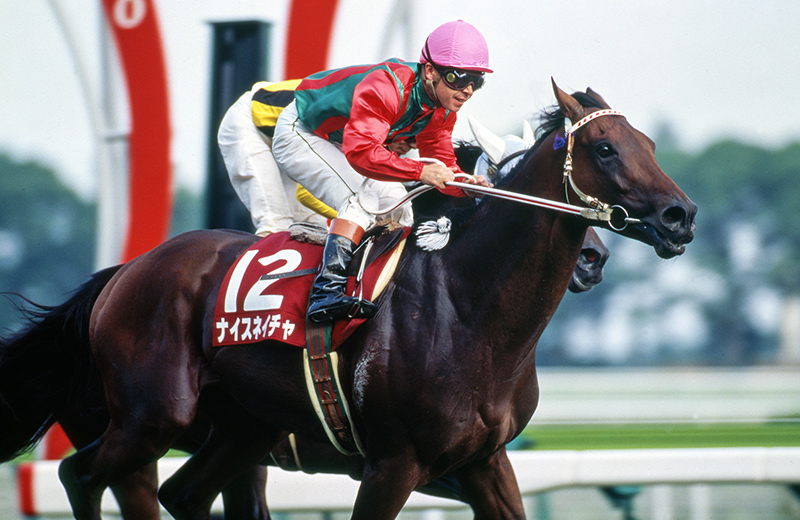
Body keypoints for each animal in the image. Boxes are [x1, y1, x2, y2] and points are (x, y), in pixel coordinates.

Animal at [7, 81, 695, 520]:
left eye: (650, 146)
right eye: (605, 148)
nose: (679, 216)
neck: (466, 307)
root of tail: (120, 276)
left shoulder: (483, 461)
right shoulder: (393, 464)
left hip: (240, 430)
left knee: (183, 495)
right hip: (151, 419)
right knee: (83, 476)